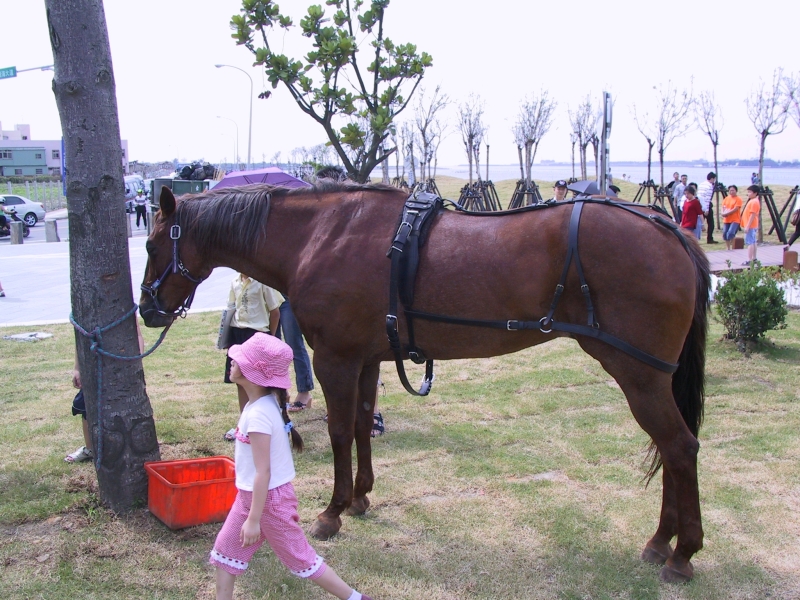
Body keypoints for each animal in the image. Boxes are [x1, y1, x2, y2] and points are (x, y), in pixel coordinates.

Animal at [139, 181, 710, 583]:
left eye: (151, 243)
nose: (147, 308)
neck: (323, 235)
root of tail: (669, 231)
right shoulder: (366, 358)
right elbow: (363, 426)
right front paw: (361, 498)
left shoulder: (335, 360)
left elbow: (341, 432)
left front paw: (333, 511)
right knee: (670, 450)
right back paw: (661, 541)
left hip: (638, 375)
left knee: (679, 447)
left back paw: (681, 553)